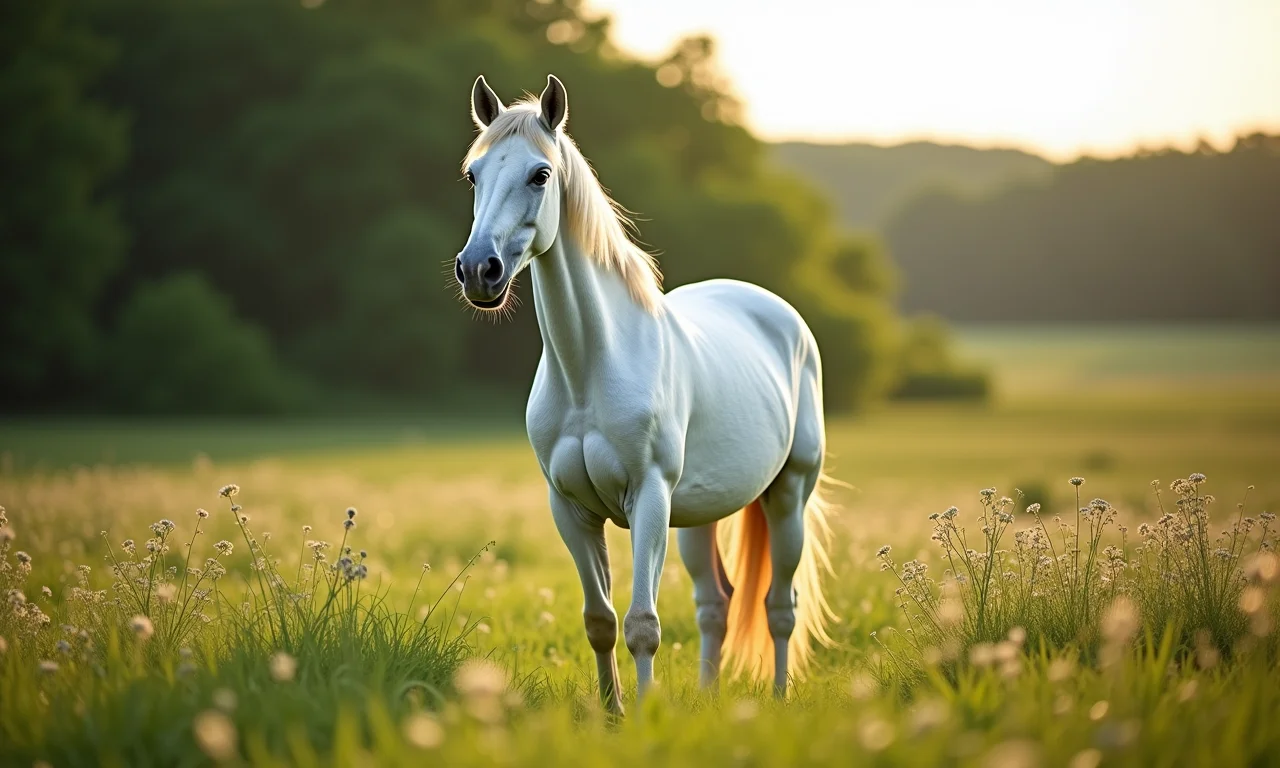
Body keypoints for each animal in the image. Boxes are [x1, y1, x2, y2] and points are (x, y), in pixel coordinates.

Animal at [453, 74, 836, 715]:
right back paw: (707, 695)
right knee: (716, 605)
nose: (480, 270)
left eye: (540, 174)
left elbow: (642, 625)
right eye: (474, 175)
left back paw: (780, 699)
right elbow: (600, 621)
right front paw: (614, 714)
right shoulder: (571, 509)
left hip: (788, 495)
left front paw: (643, 715)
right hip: (698, 515)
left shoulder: (649, 498)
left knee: (779, 608)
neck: (590, 370)